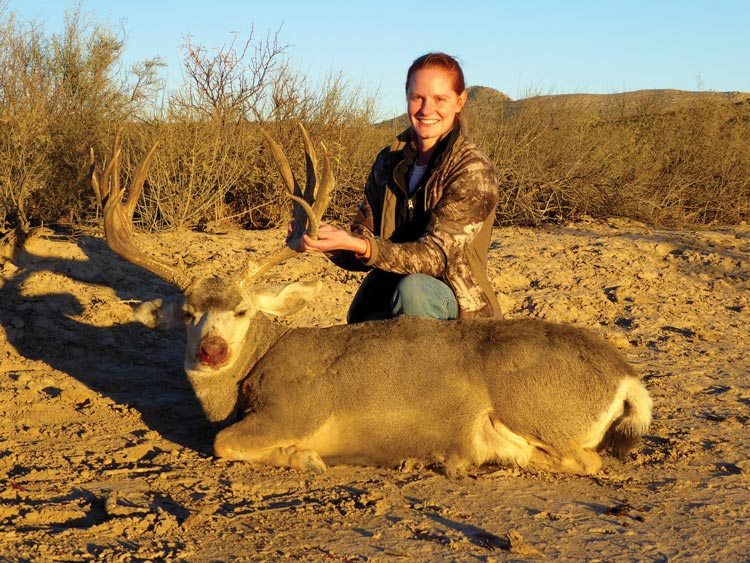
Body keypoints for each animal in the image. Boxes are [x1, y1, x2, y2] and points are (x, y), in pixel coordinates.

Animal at [89, 126, 652, 476]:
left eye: (242, 311)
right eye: (187, 314)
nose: (211, 352)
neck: (256, 368)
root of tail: (626, 377)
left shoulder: (297, 408)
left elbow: (223, 443)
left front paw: (304, 458)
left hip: (535, 407)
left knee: (585, 460)